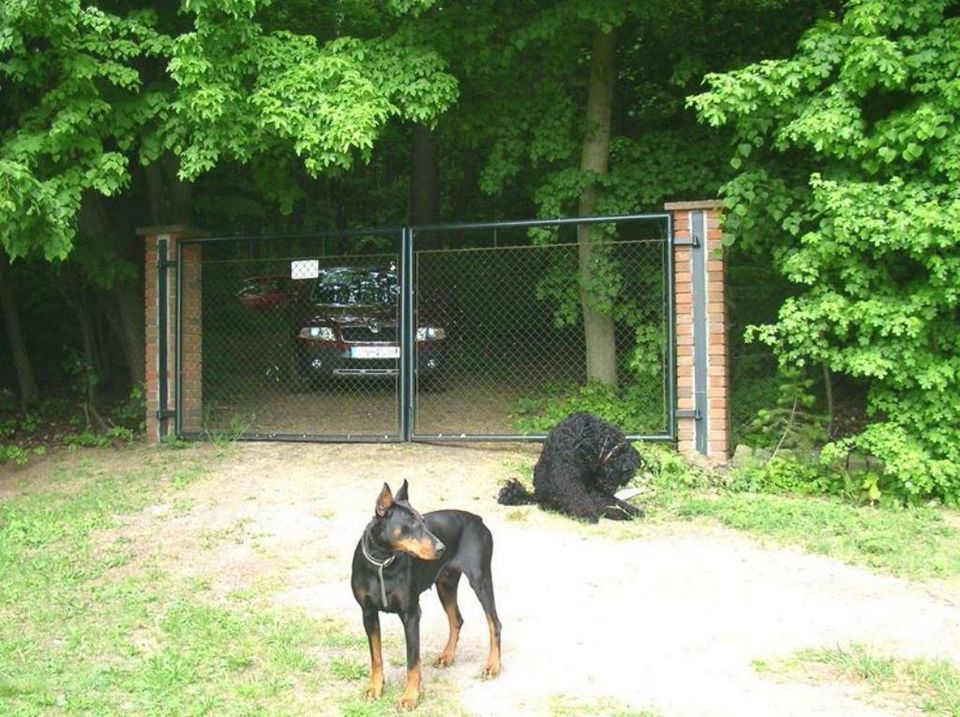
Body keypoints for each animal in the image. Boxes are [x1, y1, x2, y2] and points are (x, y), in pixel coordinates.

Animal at [496, 412, 644, 524]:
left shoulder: (593, 487)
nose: (610, 490)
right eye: (622, 478)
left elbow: (612, 502)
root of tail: (536, 495)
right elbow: (576, 496)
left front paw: (632, 511)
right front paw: (586, 515)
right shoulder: (568, 476)